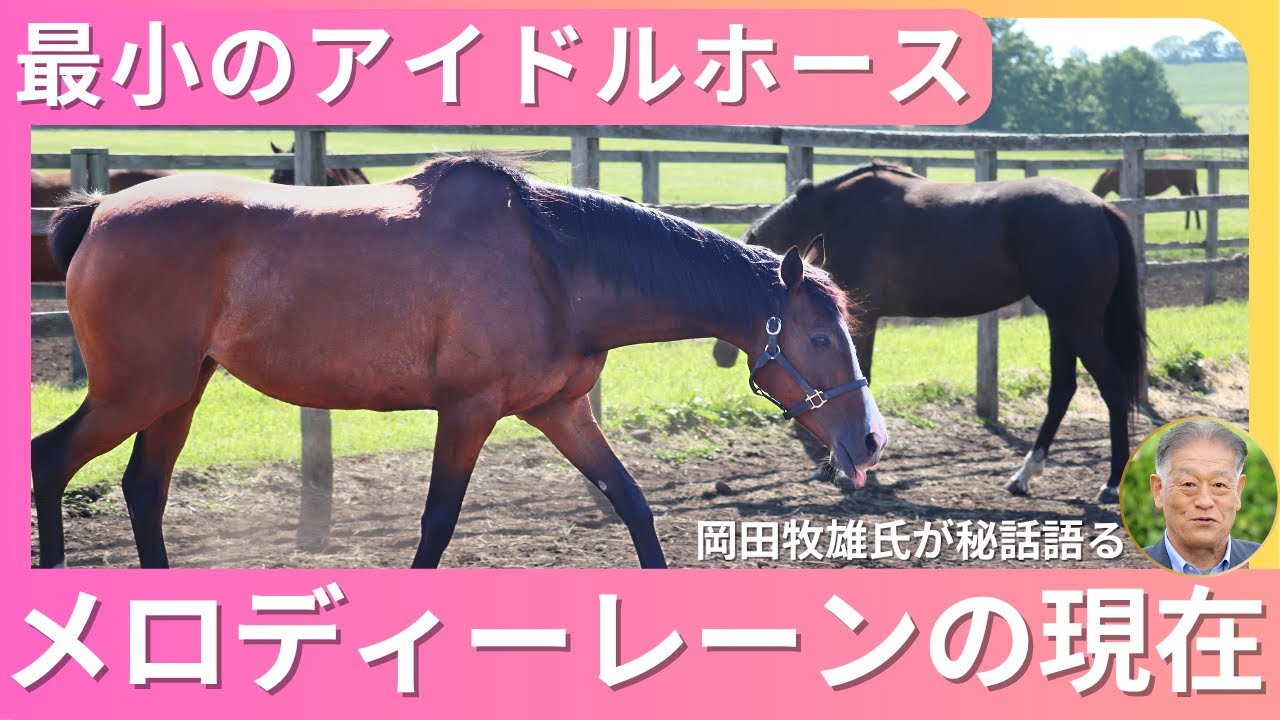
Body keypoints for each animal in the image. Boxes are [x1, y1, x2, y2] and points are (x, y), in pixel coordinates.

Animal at [712, 161, 1145, 503]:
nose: (721, 355)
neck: (839, 214)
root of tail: (1100, 209)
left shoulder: (861, 321)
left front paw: (835, 467)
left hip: (1078, 322)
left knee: (1112, 385)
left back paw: (1110, 484)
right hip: (1062, 320)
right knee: (1062, 389)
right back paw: (1024, 475)